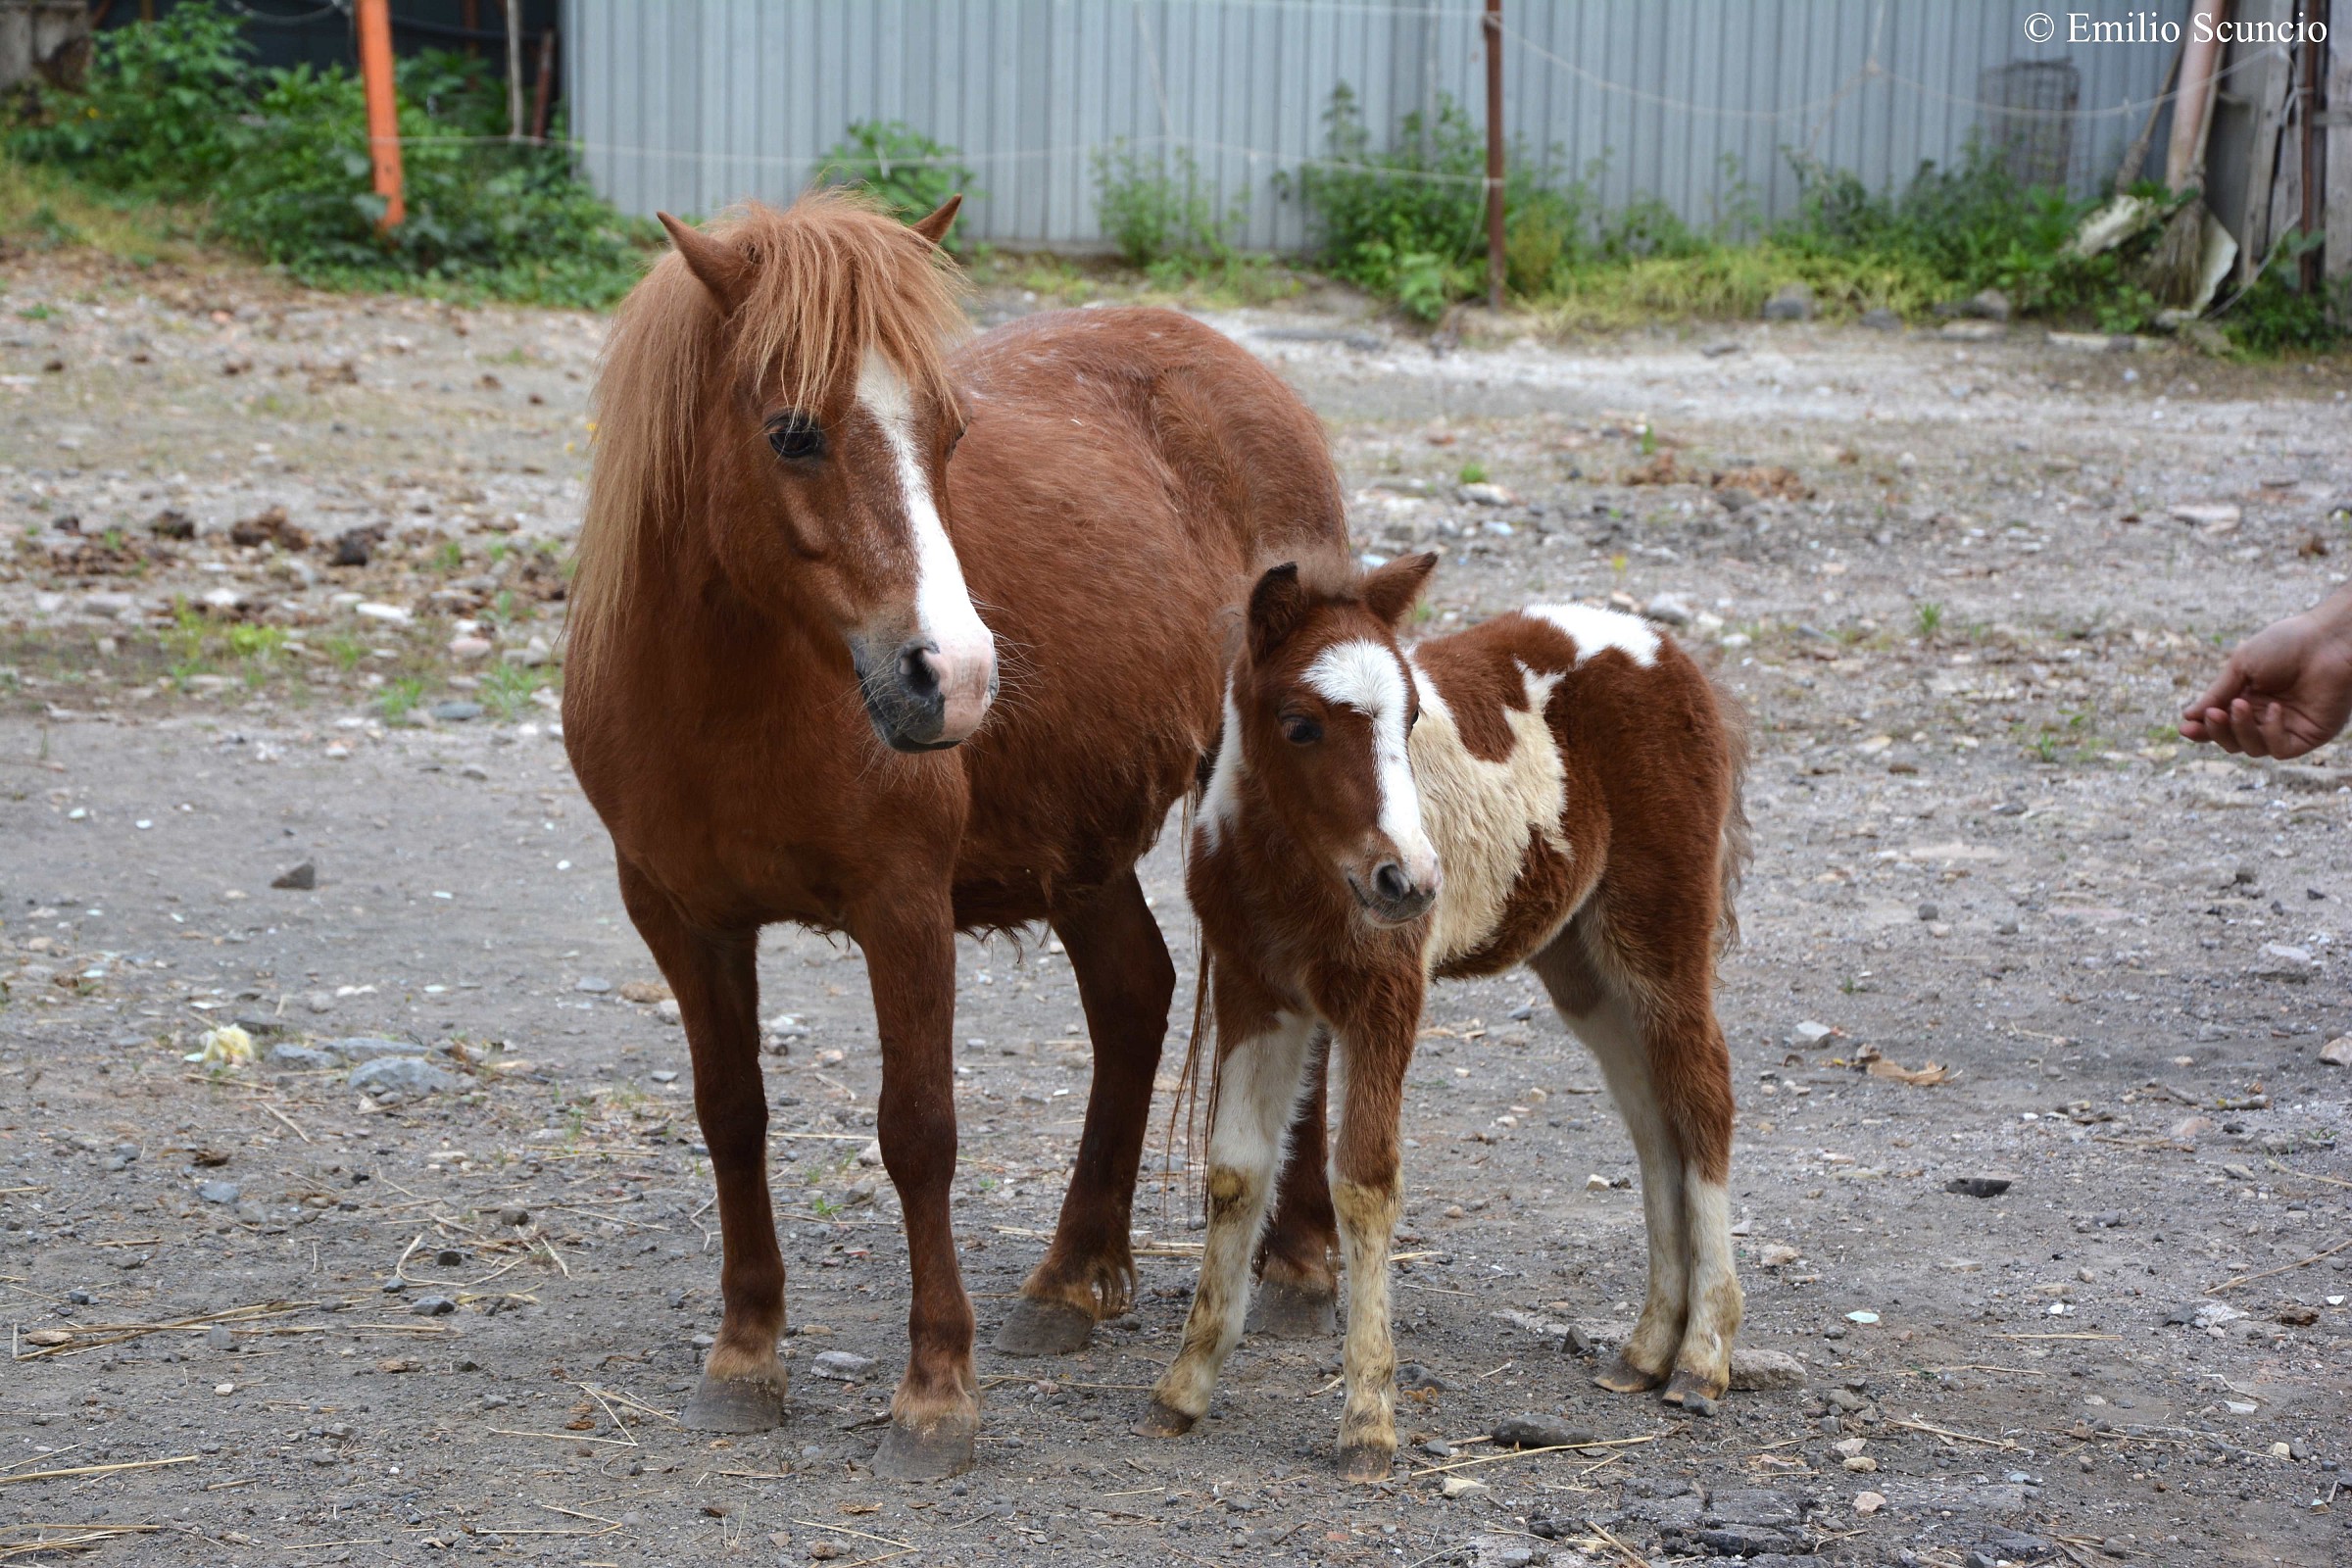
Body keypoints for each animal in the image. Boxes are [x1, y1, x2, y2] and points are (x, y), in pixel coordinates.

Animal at [561, 190, 1350, 1478]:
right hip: (1081, 853)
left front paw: (936, 1388)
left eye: (949, 428)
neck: (725, 695)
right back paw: (1070, 1278)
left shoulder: (903, 905)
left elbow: (918, 1129)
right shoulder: (679, 918)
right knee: (1133, 994)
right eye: (792, 432)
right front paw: (745, 1352)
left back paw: (1303, 1261)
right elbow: (732, 1117)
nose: (959, 675)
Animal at [1139, 554, 1750, 1480]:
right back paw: (1647, 1348)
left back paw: (1702, 1358)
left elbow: (1363, 1180)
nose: (1410, 881)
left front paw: (1367, 1420)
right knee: (1653, 1121)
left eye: (1415, 714)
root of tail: (1663, 649)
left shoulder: (1384, 997)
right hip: (1579, 962)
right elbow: (1237, 1171)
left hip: (1658, 932)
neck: (1290, 873)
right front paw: (1185, 1386)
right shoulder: (1254, 992)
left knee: (1703, 1096)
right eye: (1299, 724)